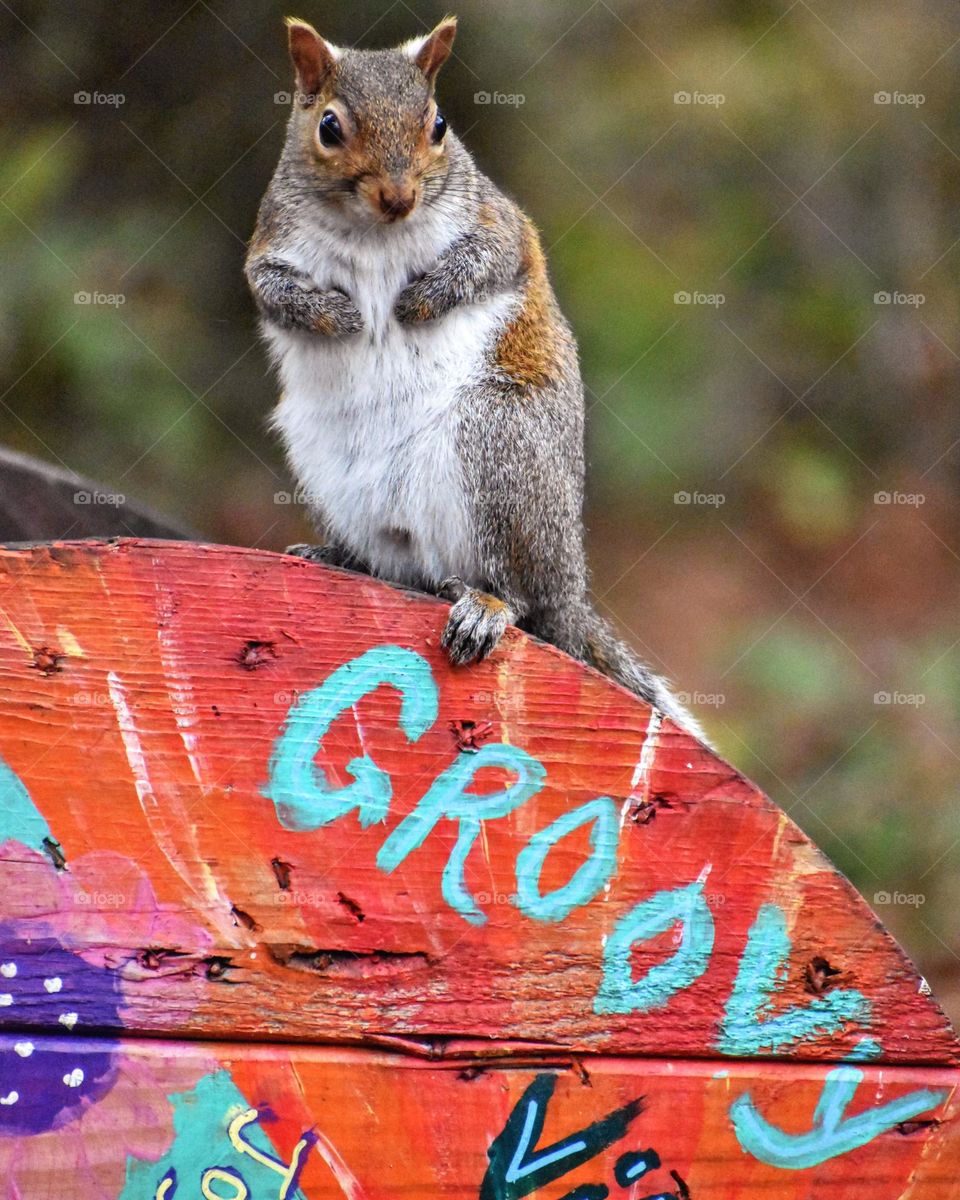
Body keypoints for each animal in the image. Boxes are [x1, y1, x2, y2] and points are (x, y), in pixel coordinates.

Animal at [245, 15, 704, 742]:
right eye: (328, 127)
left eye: (437, 124)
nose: (399, 198)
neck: (374, 233)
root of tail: (570, 588)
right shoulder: (272, 245)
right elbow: (273, 292)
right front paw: (341, 315)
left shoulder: (497, 223)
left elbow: (493, 259)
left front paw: (416, 303)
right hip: (329, 466)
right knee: (393, 566)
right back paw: (338, 557)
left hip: (499, 446)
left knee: (516, 592)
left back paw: (488, 605)